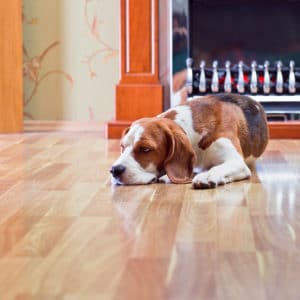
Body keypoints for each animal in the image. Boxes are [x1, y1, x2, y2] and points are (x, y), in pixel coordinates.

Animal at [110, 94, 270, 189]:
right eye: (122, 147)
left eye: (145, 149)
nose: (114, 170)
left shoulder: (236, 162)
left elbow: (219, 168)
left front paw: (207, 175)